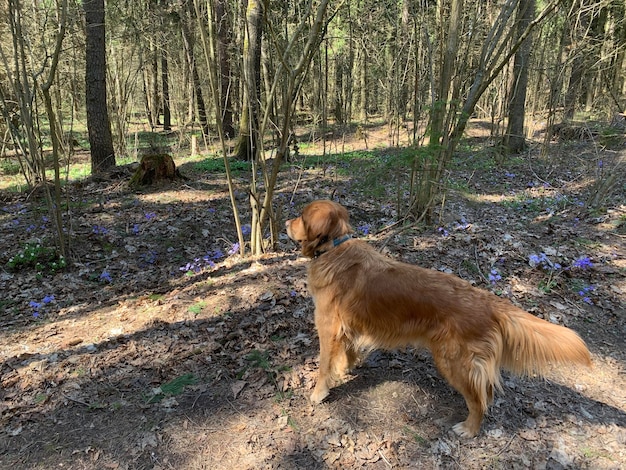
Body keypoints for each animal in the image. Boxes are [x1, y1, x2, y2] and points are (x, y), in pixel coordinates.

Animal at [286, 201, 592, 436]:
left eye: (301, 216)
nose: (286, 223)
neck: (334, 248)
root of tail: (486, 301)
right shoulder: (347, 327)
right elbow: (347, 352)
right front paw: (346, 369)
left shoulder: (327, 326)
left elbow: (323, 365)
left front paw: (319, 392)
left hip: (454, 362)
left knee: (479, 400)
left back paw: (469, 429)